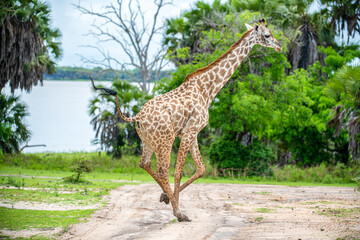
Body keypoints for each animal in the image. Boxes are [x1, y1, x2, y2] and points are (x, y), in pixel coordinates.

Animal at [90, 19, 282, 223]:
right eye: (267, 34)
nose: (279, 46)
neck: (208, 90)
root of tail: (137, 117)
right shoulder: (189, 131)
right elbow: (179, 171)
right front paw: (176, 208)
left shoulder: (193, 132)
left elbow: (201, 169)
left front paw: (166, 197)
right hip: (165, 139)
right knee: (163, 169)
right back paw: (179, 212)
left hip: (148, 141)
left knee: (144, 163)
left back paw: (168, 198)